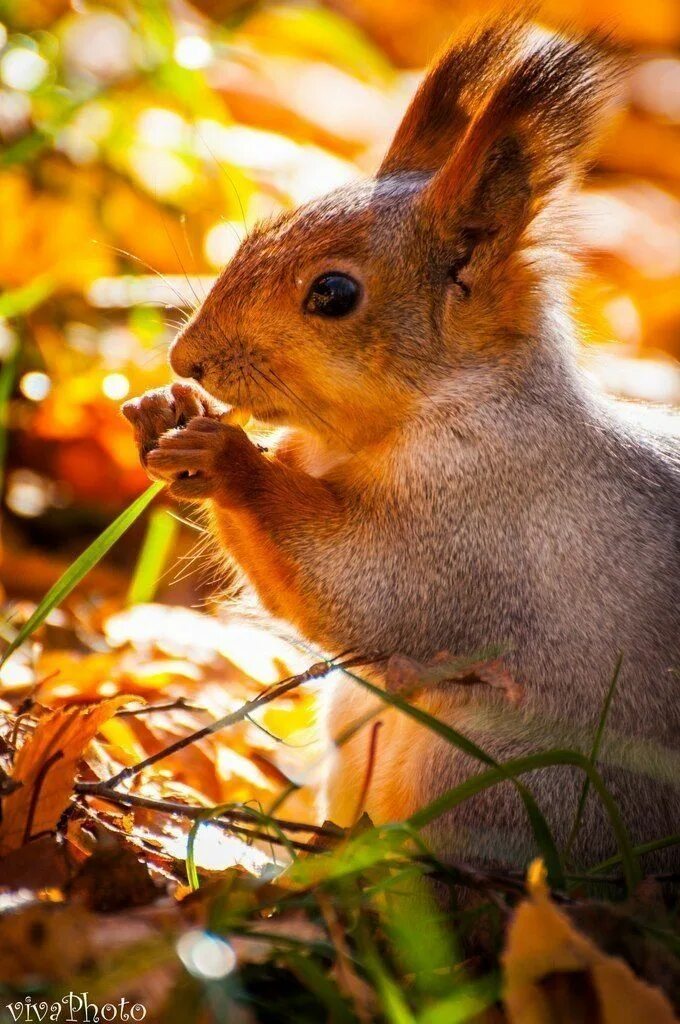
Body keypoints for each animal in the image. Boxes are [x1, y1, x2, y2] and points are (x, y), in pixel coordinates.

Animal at [123, 19, 680, 872]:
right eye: (258, 234)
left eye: (333, 293)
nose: (188, 360)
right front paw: (164, 414)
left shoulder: (477, 519)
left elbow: (361, 584)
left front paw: (227, 461)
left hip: (496, 779)